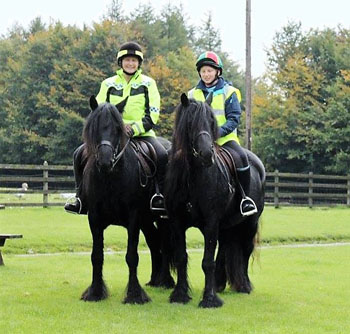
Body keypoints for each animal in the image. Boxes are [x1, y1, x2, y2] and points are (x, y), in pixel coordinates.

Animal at [78, 96, 173, 302]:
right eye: (94, 127)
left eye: (117, 128)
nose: (105, 161)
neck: (111, 177)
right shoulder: (94, 218)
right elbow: (96, 256)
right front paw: (95, 292)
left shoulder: (133, 218)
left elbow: (132, 256)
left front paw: (135, 294)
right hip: (147, 221)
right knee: (154, 242)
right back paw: (155, 280)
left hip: (161, 218)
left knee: (165, 243)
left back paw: (167, 281)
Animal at [165, 94, 266, 308]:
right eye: (190, 123)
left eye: (211, 121)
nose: (207, 154)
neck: (192, 177)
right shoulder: (177, 222)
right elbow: (181, 257)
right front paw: (180, 294)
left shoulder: (211, 222)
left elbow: (207, 261)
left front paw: (209, 299)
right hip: (227, 225)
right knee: (225, 248)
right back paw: (219, 284)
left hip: (250, 223)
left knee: (246, 249)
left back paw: (244, 286)